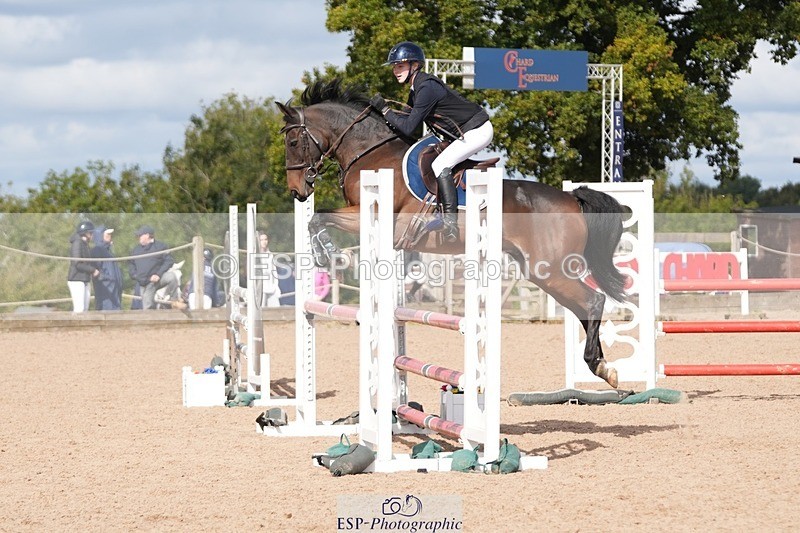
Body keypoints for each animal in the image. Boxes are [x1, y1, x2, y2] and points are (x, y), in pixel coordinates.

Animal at [276, 79, 627, 388]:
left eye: (293, 143)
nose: (297, 192)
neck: (369, 153)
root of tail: (571, 198)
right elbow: (318, 221)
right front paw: (330, 255)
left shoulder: (374, 216)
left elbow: (319, 218)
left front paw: (331, 255)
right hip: (539, 271)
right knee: (584, 307)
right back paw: (604, 367)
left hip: (550, 269)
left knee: (594, 300)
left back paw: (599, 365)